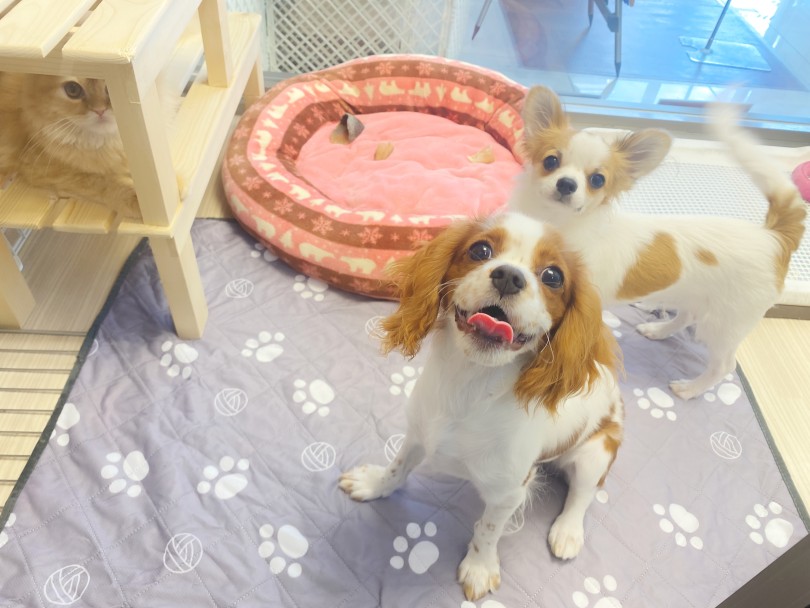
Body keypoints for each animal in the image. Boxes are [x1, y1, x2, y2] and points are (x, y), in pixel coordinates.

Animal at [338, 211, 620, 600]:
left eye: (553, 276)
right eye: (480, 250)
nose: (509, 276)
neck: (470, 385)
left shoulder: (508, 493)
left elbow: (487, 529)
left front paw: (480, 567)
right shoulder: (417, 433)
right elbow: (397, 467)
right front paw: (376, 483)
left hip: (597, 452)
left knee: (583, 493)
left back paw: (567, 532)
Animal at [508, 86, 804, 400]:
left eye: (598, 180)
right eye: (550, 161)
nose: (566, 184)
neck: (557, 220)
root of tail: (774, 236)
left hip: (724, 324)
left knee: (724, 365)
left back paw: (690, 389)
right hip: (694, 296)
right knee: (686, 316)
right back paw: (658, 330)